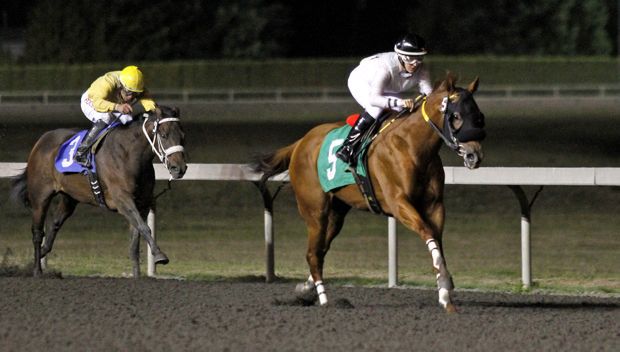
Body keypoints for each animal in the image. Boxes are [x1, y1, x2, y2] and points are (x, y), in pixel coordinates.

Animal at [10, 106, 186, 276]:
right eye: (164, 135)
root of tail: (41, 141)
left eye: (182, 136)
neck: (129, 155)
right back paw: (36, 270)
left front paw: (137, 275)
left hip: (70, 197)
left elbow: (135, 241)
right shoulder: (122, 199)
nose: (179, 168)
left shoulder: (142, 203)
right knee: (37, 232)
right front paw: (160, 255)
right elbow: (144, 228)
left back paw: (40, 256)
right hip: (40, 196)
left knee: (54, 224)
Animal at [254, 75, 486, 314]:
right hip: (315, 211)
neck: (412, 146)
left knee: (321, 249)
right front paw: (445, 283)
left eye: (478, 116)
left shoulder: (435, 205)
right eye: (456, 116)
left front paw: (445, 295)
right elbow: (427, 232)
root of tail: (300, 143)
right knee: (313, 254)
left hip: (337, 212)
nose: (474, 155)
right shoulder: (399, 203)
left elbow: (437, 241)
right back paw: (325, 300)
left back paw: (306, 289)